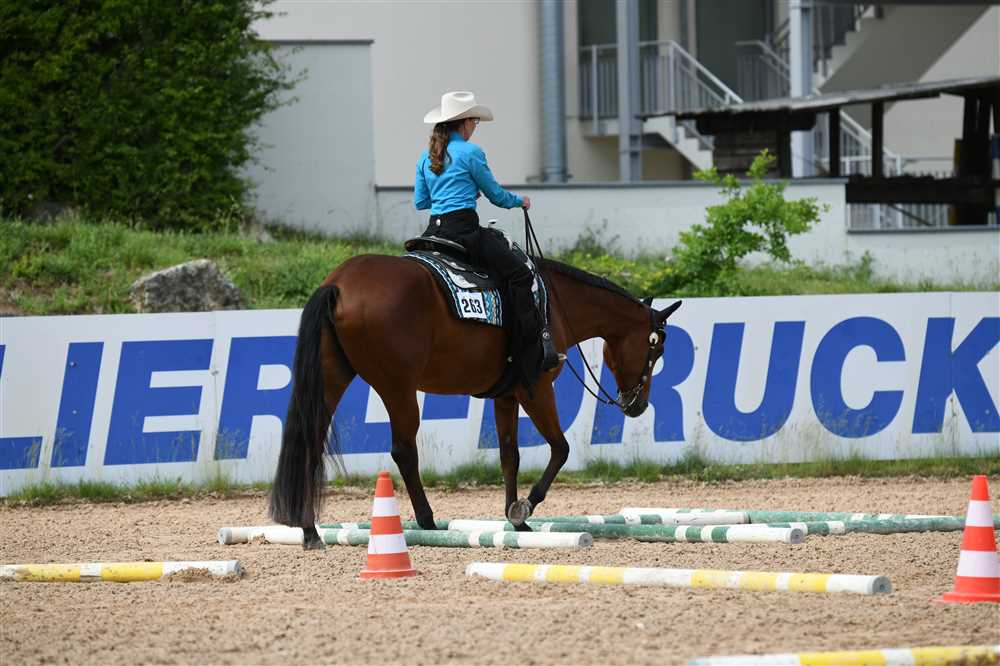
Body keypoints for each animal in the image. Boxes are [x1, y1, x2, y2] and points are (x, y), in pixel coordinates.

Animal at [268, 250, 681, 550]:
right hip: (397, 387)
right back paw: (428, 522)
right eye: (657, 348)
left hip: (333, 378)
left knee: (310, 441)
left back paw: (310, 531)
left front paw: (519, 521)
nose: (637, 405)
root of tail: (339, 283)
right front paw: (524, 507)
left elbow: (509, 455)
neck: (554, 303)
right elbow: (561, 448)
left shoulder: (506, 395)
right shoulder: (536, 388)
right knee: (404, 451)